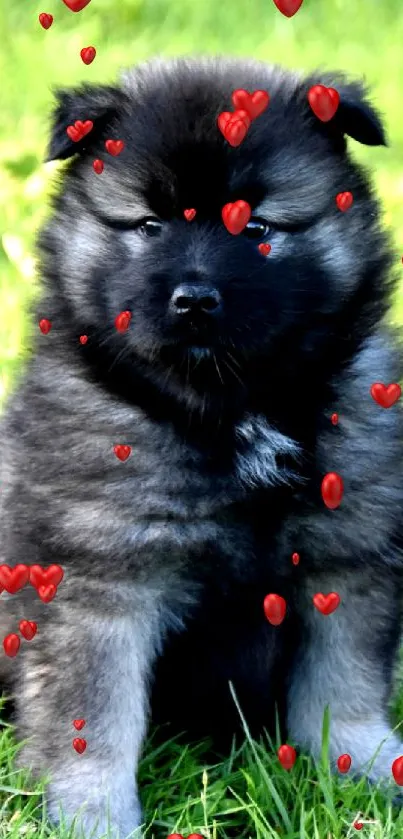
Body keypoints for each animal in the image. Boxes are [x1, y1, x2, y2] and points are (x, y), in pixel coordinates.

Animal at [0, 55, 403, 836]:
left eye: (258, 227)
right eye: (148, 225)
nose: (194, 299)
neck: (228, 409)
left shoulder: (347, 556)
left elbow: (343, 686)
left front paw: (364, 769)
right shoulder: (101, 579)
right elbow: (93, 718)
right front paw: (92, 815)